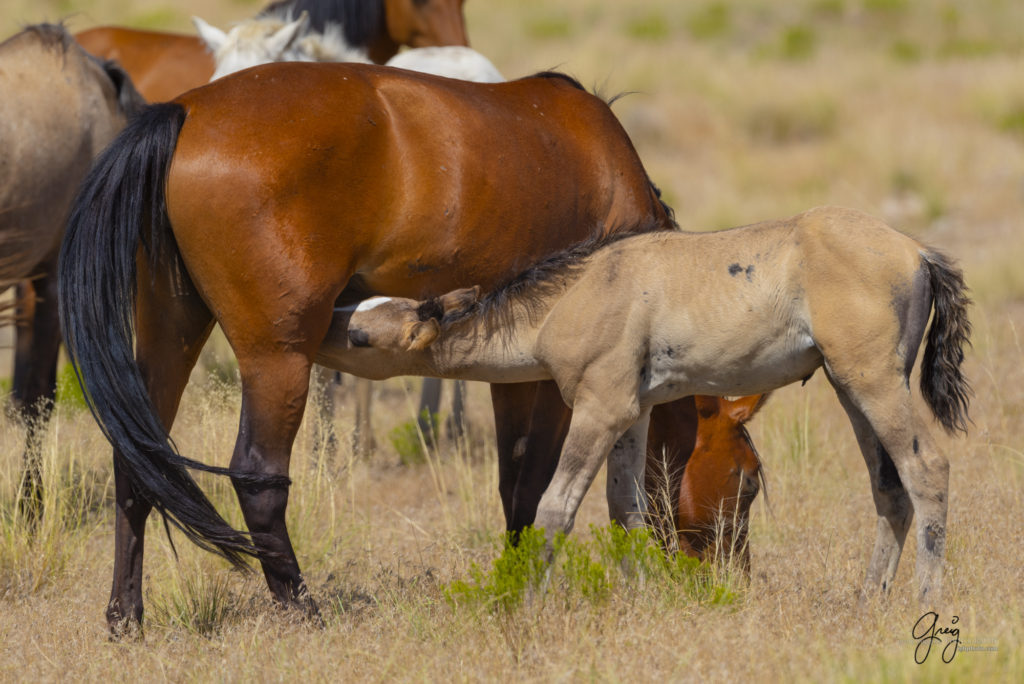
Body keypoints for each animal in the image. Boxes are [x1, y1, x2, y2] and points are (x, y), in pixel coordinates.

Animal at [58, 63, 704, 630]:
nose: (703, 565)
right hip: (279, 357)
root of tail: (186, 112)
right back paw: (303, 609)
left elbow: (514, 479)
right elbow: (534, 481)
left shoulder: (512, 372)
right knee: (256, 476)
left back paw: (126, 616)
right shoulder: (549, 378)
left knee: (138, 462)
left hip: (170, 332)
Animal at [331, 205, 970, 602]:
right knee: (889, 489)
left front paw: (525, 604)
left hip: (874, 384)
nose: (323, 321)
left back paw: (923, 604)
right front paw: (640, 598)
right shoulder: (633, 416)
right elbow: (627, 509)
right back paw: (867, 602)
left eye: (361, 335)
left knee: (927, 469)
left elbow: (555, 508)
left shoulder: (597, 412)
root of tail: (918, 252)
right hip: (849, 388)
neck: (579, 294)